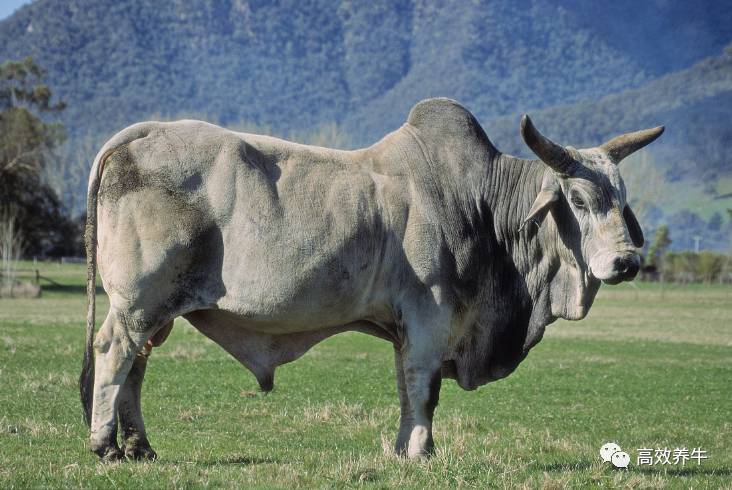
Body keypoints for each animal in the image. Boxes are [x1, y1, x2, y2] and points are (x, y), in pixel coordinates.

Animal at [80, 97, 664, 462]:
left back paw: (140, 448)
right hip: (138, 302)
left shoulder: (406, 327)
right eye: (581, 200)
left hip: (156, 311)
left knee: (136, 367)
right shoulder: (431, 318)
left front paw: (405, 450)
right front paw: (423, 451)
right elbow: (424, 388)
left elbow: (407, 389)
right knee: (113, 352)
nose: (626, 263)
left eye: (623, 200)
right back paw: (106, 446)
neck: (485, 207)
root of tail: (145, 131)